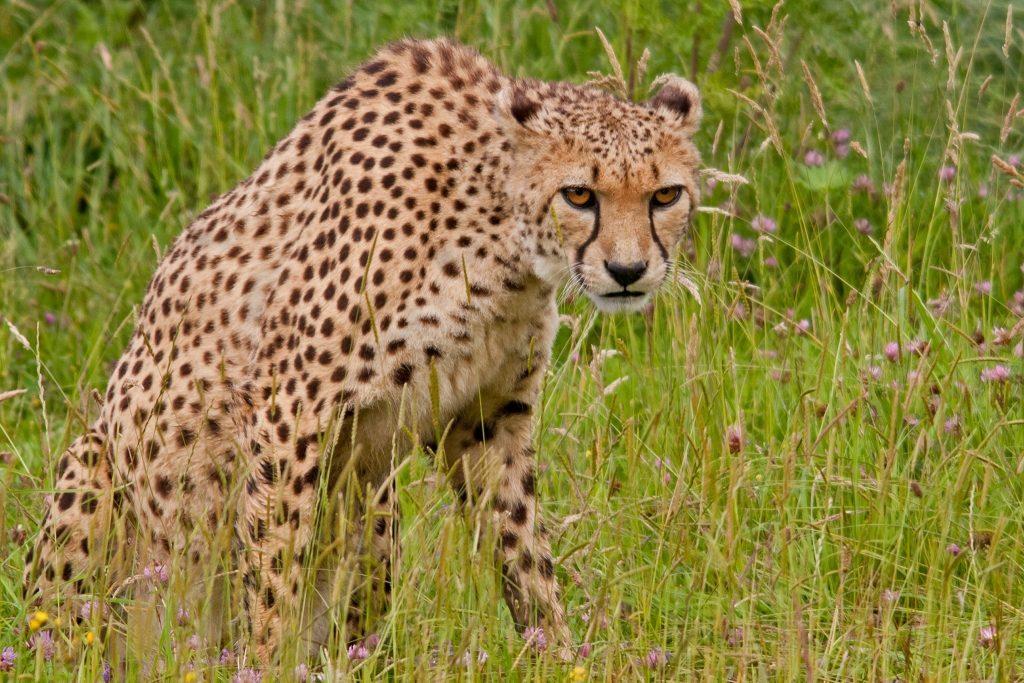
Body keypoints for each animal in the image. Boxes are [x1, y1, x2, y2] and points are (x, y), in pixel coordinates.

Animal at [24, 37, 700, 663]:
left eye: (665, 196)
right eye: (579, 195)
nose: (628, 270)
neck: (498, 231)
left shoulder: (488, 418)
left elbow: (524, 553)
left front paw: (559, 655)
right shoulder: (290, 411)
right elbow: (274, 573)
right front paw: (263, 664)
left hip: (373, 497)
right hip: (94, 472)